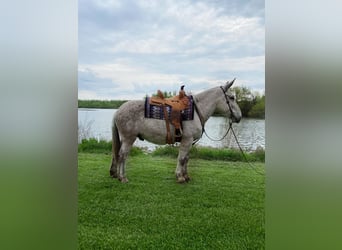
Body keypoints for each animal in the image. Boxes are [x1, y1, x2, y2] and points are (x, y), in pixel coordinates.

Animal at [109, 79, 240, 183]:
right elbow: (181, 159)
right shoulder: (187, 140)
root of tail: (118, 111)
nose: (239, 116)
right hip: (128, 138)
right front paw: (180, 177)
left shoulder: (189, 142)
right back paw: (123, 177)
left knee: (118, 155)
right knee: (123, 155)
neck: (196, 111)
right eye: (232, 97)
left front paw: (186, 176)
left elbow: (186, 159)